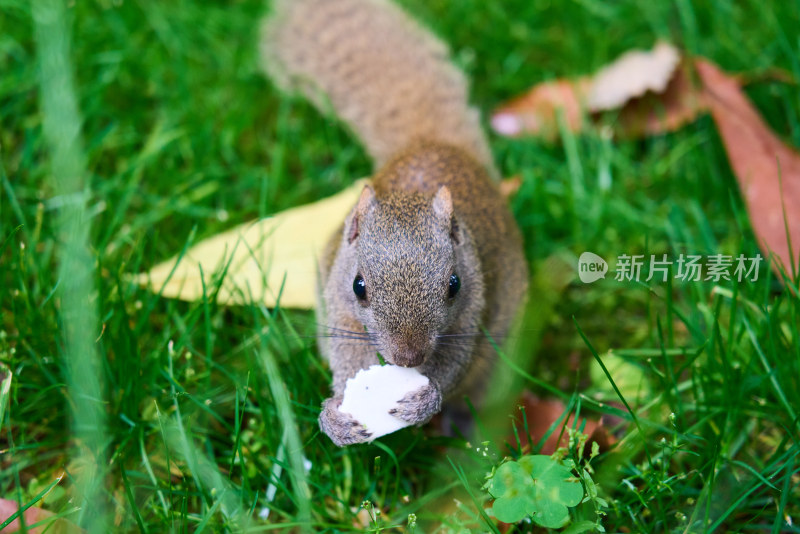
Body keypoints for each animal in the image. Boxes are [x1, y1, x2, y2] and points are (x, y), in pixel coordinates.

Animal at [260, 0, 528, 446]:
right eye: (359, 286)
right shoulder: (338, 301)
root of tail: (435, 144)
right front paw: (337, 415)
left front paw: (425, 398)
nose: (408, 357)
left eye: (454, 284)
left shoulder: (472, 312)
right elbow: (345, 348)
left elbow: (455, 361)